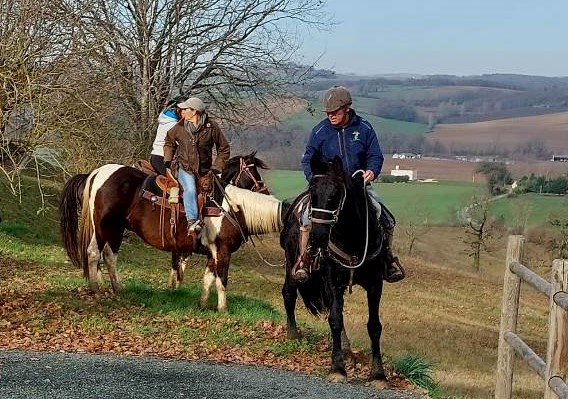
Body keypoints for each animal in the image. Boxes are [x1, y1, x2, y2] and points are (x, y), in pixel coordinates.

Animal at [58, 153, 282, 312]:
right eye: (252, 173)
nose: (264, 191)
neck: (225, 204)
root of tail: (97, 173)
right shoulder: (222, 250)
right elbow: (221, 279)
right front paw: (222, 309)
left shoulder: (212, 251)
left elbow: (208, 278)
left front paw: (202, 304)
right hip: (104, 226)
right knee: (93, 253)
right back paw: (96, 288)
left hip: (116, 229)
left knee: (109, 255)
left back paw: (117, 288)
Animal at [280, 153, 390, 388]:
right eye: (313, 193)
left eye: (335, 195)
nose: (318, 237)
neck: (352, 239)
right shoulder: (331, 279)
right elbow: (335, 320)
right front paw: (338, 369)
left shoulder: (375, 284)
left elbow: (374, 326)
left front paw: (378, 374)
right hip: (292, 265)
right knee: (289, 293)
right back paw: (293, 334)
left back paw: (347, 349)